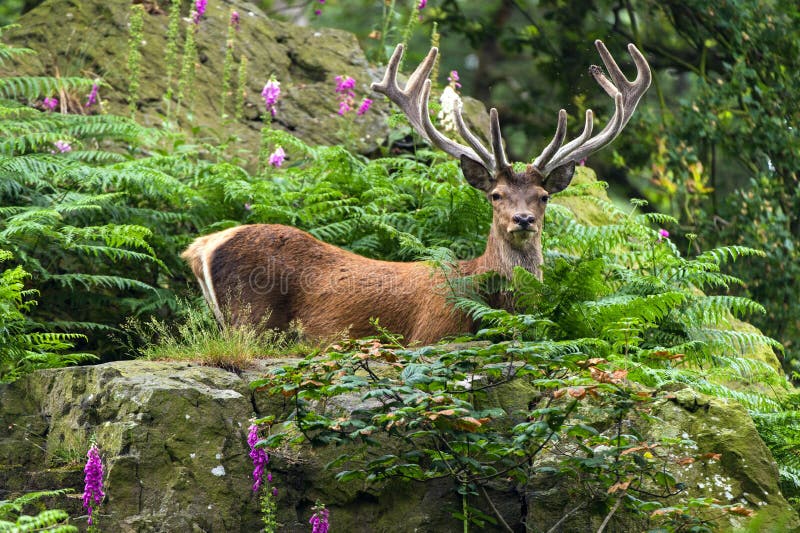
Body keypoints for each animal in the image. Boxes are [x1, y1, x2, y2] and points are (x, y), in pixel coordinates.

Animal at [182, 40, 651, 345]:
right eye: (495, 195)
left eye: (544, 196)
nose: (523, 220)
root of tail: (203, 245)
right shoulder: (431, 333)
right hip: (250, 317)